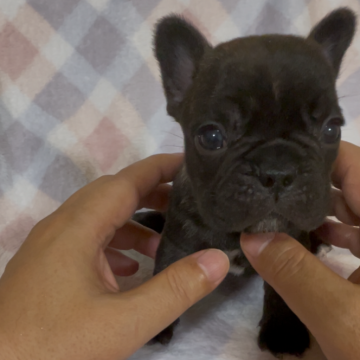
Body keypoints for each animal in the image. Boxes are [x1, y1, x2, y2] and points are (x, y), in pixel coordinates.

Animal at [134, 7, 356, 358]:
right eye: (211, 137)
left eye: (332, 129)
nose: (277, 171)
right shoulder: (180, 236)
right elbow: (166, 267)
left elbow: (282, 292)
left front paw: (283, 332)